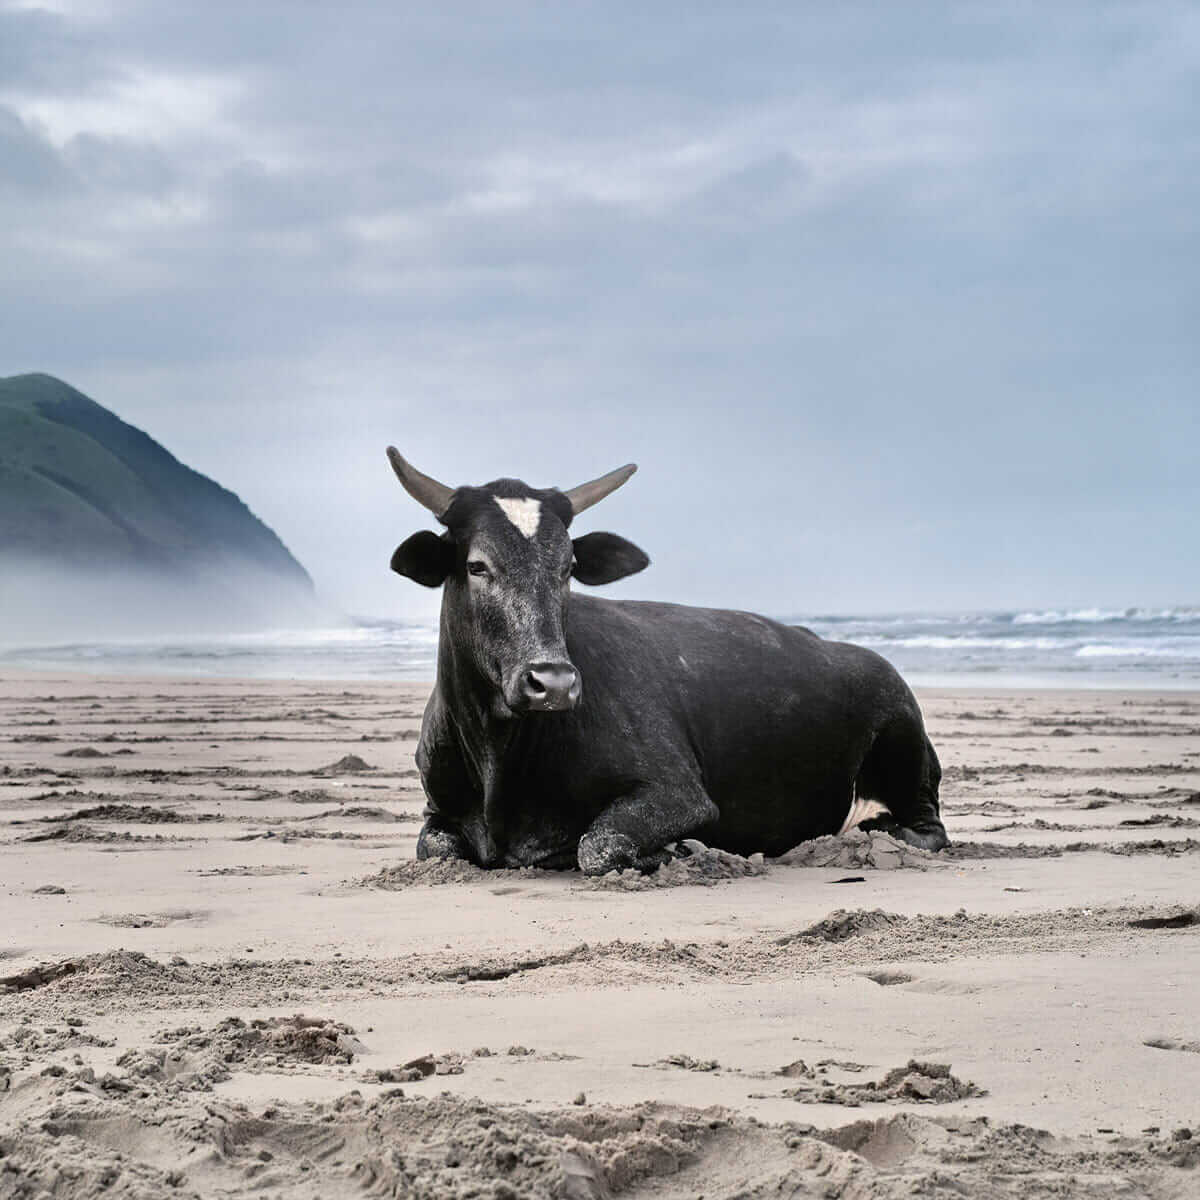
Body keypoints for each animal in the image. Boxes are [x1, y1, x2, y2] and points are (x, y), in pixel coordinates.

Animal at [384, 451, 945, 873]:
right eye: (477, 566)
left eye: (568, 567)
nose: (555, 683)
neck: (498, 757)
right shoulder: (436, 809)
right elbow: (434, 846)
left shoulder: (679, 792)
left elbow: (599, 844)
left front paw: (681, 849)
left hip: (904, 741)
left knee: (925, 828)